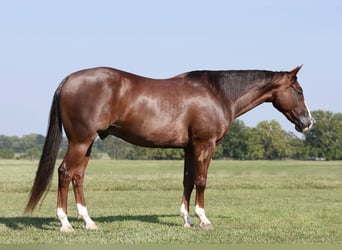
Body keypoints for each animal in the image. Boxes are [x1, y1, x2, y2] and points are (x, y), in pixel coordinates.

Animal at [24, 65, 312, 231]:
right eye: (298, 91)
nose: (308, 122)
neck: (218, 93)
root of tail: (68, 80)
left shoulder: (189, 148)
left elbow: (187, 181)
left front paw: (186, 219)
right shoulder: (204, 144)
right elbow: (201, 180)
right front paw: (203, 219)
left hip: (87, 143)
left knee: (78, 176)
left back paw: (88, 222)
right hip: (81, 140)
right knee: (64, 173)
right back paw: (65, 223)